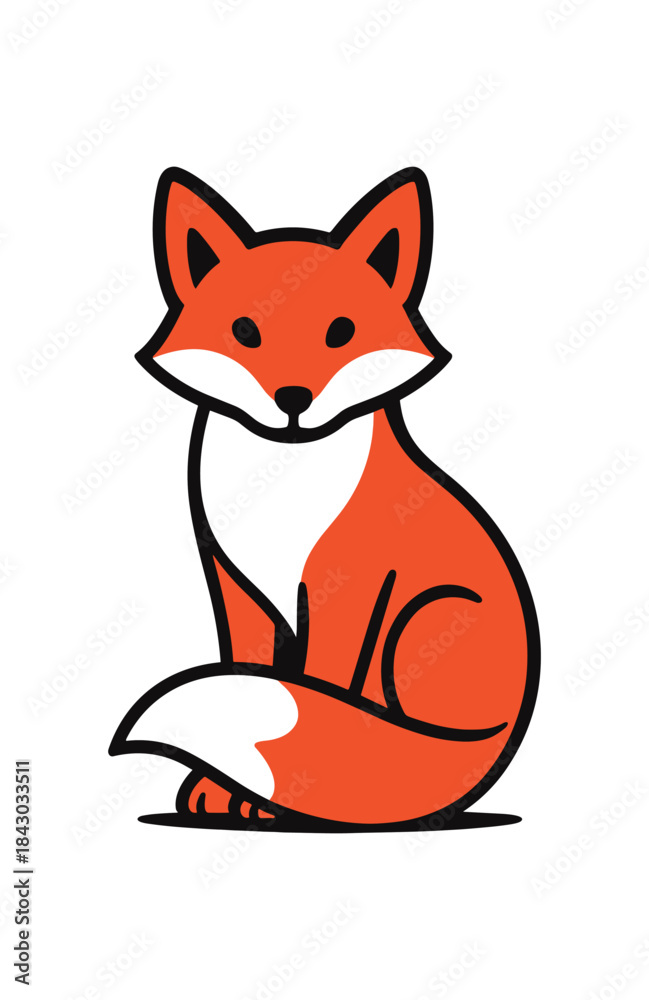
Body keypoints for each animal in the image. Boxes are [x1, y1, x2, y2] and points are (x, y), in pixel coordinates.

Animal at [109, 166, 540, 832]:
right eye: (245, 331)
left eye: (342, 332)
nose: (293, 399)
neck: (283, 483)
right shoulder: (236, 584)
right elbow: (251, 666)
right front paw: (221, 795)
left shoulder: (347, 584)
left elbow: (325, 684)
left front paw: (283, 805)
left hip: (429, 616)